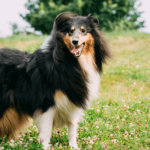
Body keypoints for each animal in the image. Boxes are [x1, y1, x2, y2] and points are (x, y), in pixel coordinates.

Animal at [0, 12, 110, 149]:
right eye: (70, 31)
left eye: (84, 30)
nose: (75, 41)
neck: (69, 61)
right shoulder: (46, 103)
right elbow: (46, 132)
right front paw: (45, 147)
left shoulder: (73, 102)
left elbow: (72, 129)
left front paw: (74, 147)